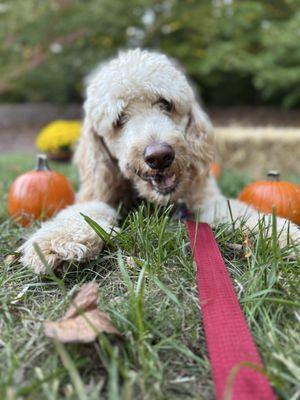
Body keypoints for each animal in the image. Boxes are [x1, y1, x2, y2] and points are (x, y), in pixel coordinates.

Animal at [20, 48, 298, 274]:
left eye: (166, 104)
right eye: (119, 119)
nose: (159, 156)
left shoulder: (207, 200)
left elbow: (241, 213)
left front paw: (285, 235)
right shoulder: (98, 195)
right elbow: (82, 212)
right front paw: (57, 241)